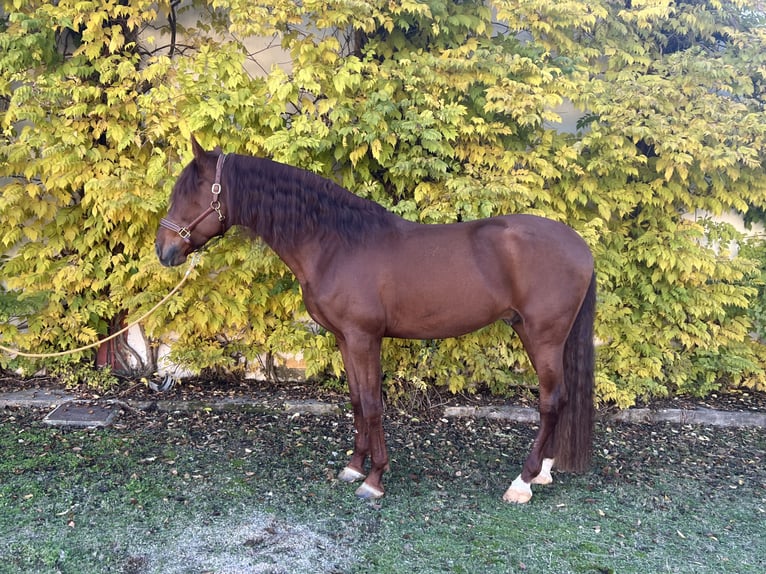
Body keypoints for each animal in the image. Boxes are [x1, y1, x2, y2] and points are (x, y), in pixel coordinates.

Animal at [158, 137, 600, 506]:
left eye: (191, 193)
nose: (164, 251)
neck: (336, 243)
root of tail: (579, 246)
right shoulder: (344, 339)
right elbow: (356, 400)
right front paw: (354, 466)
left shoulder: (363, 337)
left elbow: (372, 405)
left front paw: (374, 479)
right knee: (560, 399)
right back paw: (544, 471)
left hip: (542, 336)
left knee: (550, 401)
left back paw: (522, 482)